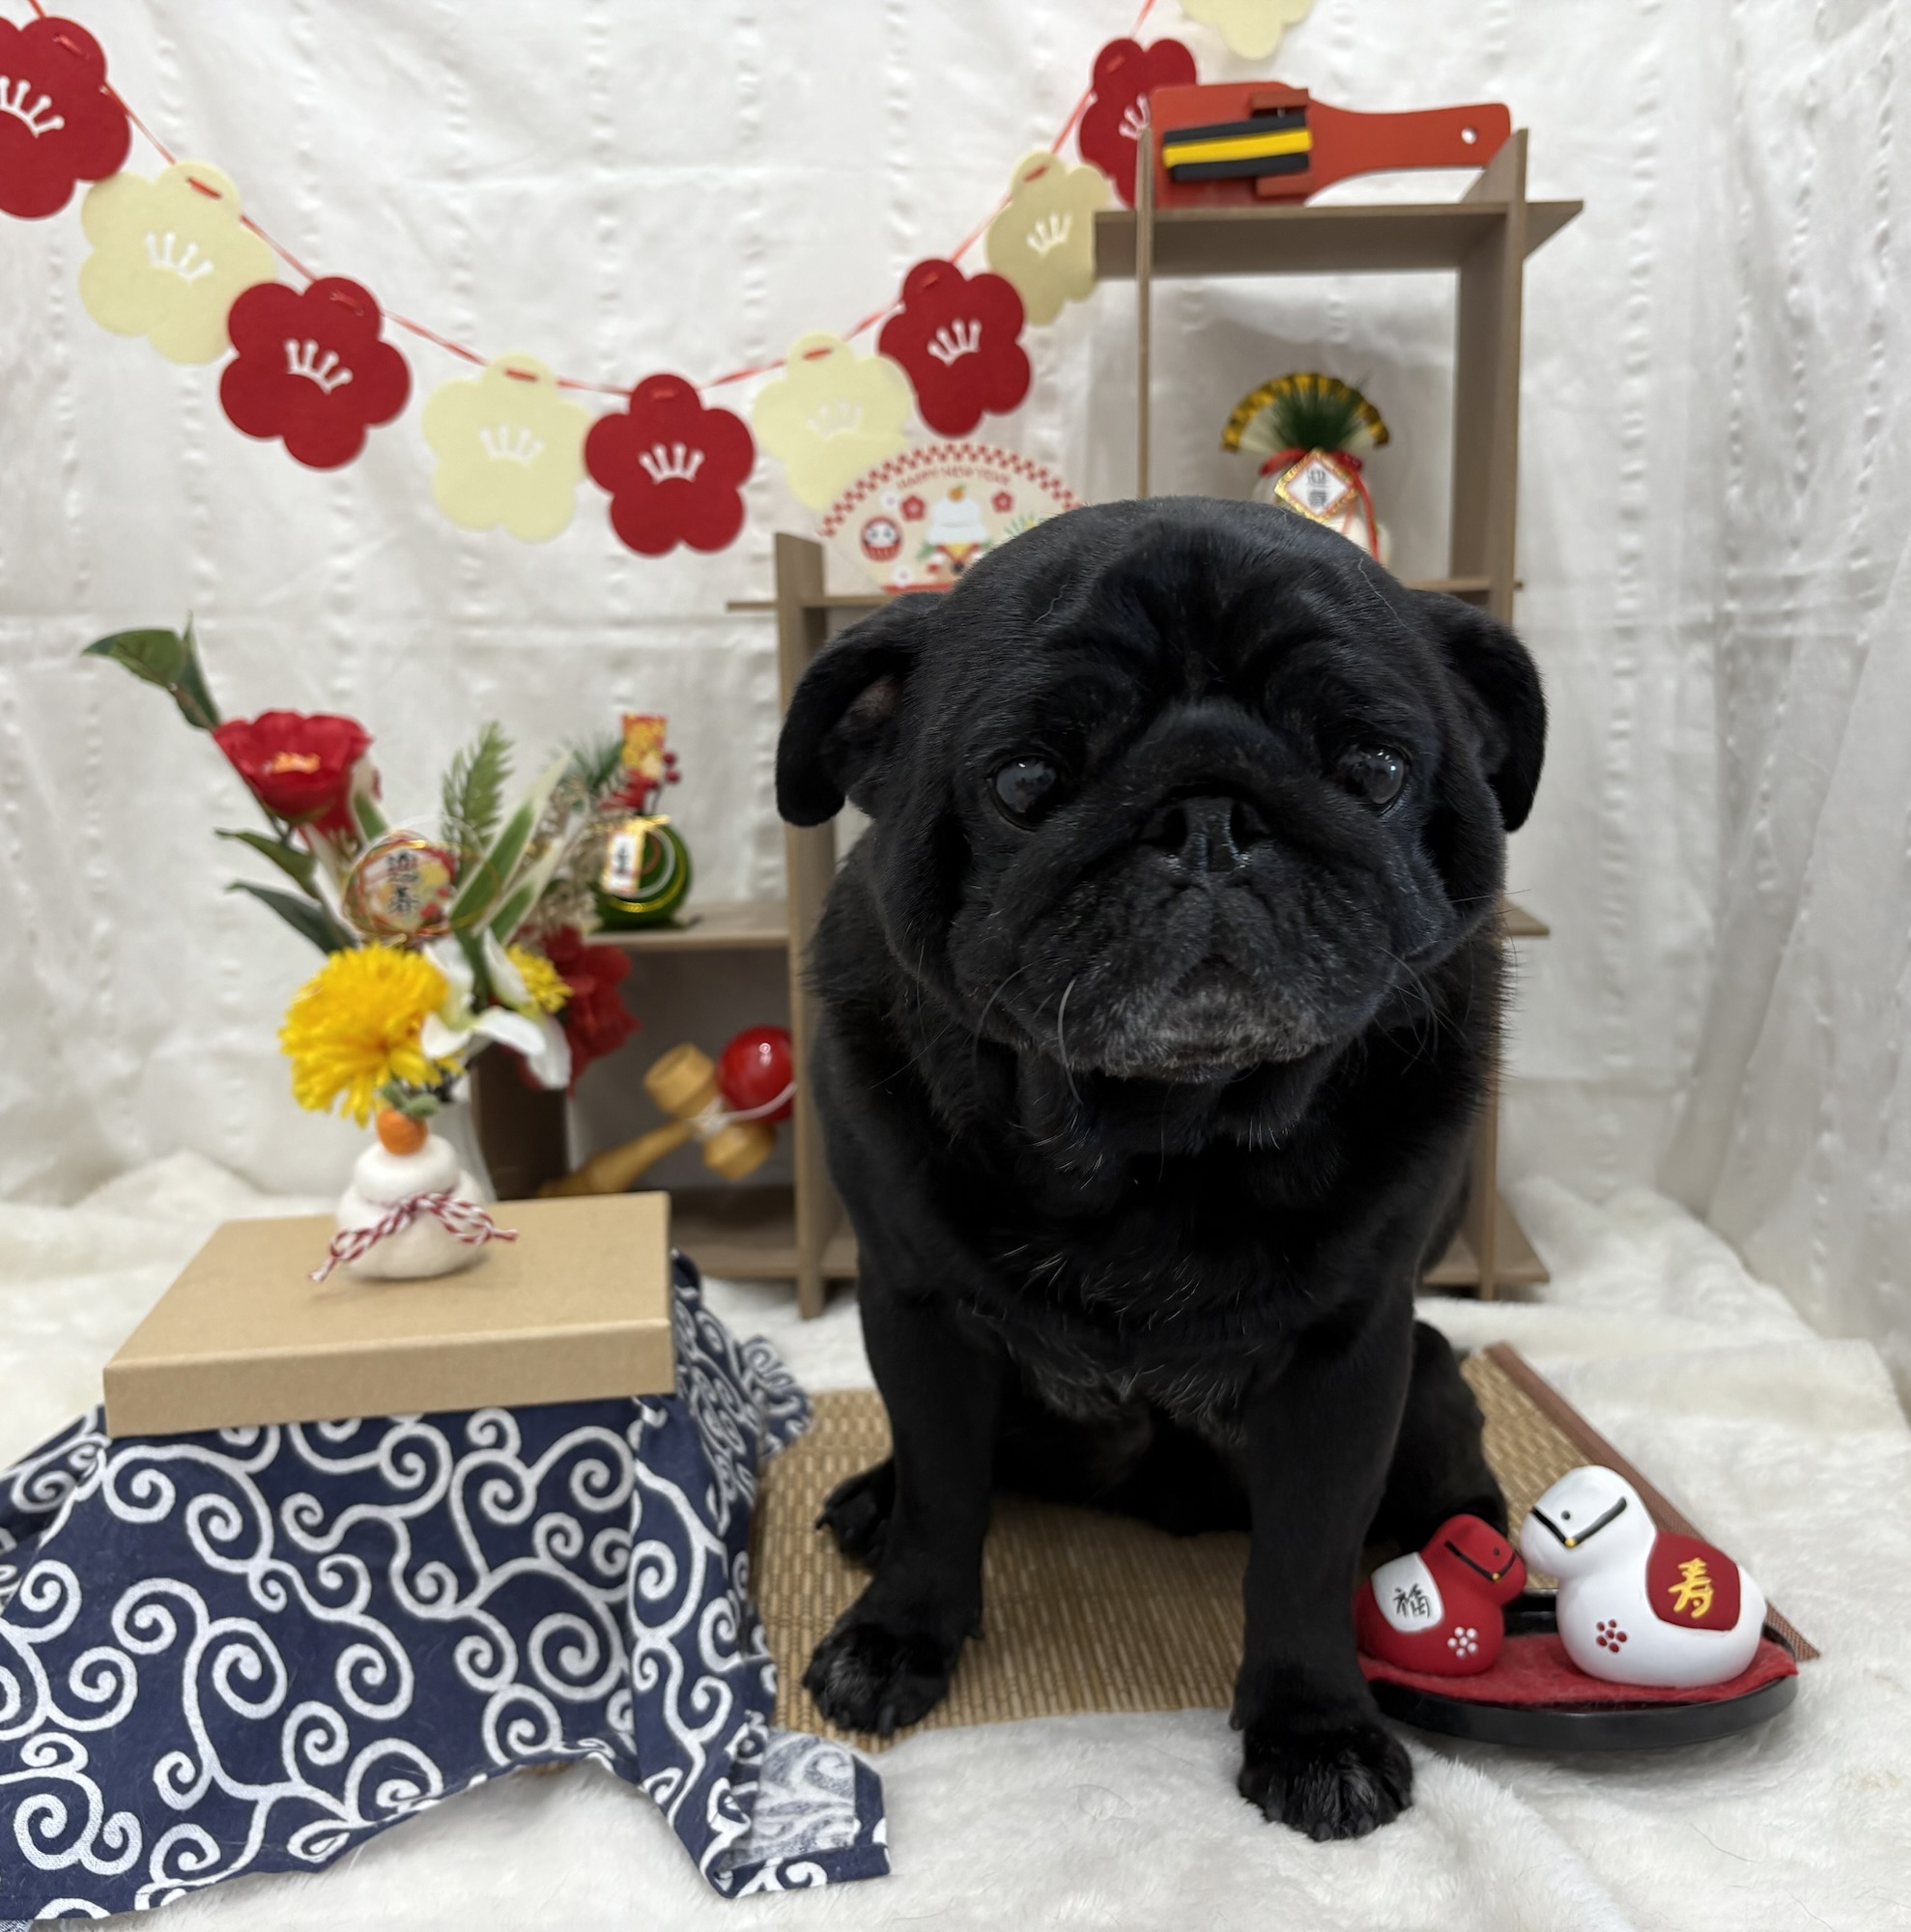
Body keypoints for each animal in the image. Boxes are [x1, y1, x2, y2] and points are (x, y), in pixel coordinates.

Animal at [774, 496, 1545, 1840]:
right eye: (1025, 781)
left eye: (1374, 769)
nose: (1209, 816)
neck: (1159, 1137)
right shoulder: (915, 1312)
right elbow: (942, 1493)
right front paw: (899, 1634)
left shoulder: (1346, 1362)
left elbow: (1302, 1555)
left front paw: (1315, 1726)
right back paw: (869, 1498)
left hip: (1430, 1381)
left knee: (1439, 1474)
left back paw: (1461, 1538)